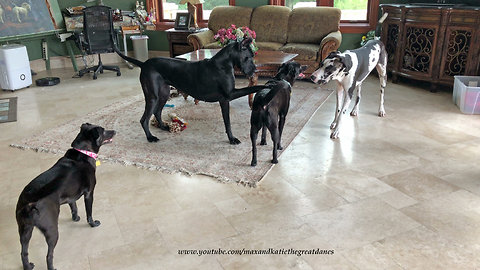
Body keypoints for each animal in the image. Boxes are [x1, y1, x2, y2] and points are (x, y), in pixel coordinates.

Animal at [15, 123, 115, 270]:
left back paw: (28, 266)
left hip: (24, 230)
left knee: (23, 252)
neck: (83, 152)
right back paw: (52, 267)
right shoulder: (89, 193)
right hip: (51, 231)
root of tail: (29, 205)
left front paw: (75, 218)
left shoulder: (71, 196)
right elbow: (89, 213)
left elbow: (73, 207)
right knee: (49, 255)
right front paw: (93, 224)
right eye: (103, 131)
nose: (115, 131)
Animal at [114, 38, 264, 143]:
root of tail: (144, 64)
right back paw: (150, 137)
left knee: (157, 112)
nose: (255, 71)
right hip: (153, 96)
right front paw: (232, 139)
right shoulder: (227, 97)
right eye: (248, 57)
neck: (223, 64)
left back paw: (164, 127)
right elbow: (229, 121)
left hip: (164, 94)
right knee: (144, 119)